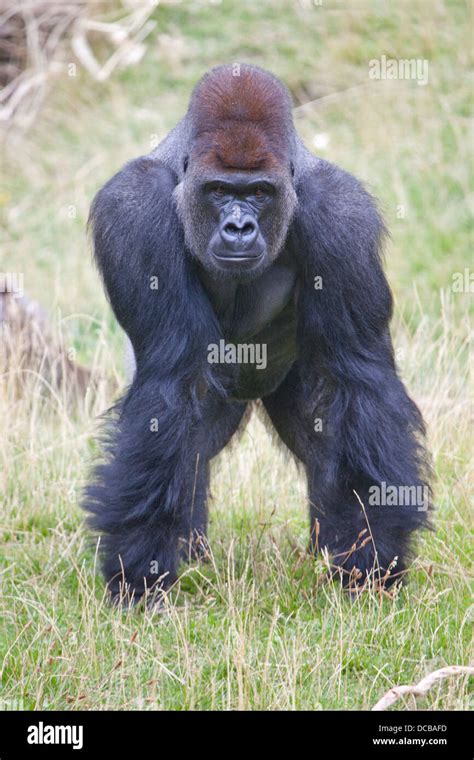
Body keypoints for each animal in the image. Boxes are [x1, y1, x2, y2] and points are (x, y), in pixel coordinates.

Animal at [83, 62, 432, 604]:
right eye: (220, 191)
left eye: (260, 193)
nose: (239, 228)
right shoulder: (132, 207)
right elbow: (174, 382)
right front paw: (141, 569)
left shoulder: (341, 214)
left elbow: (357, 376)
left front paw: (372, 559)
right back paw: (190, 551)